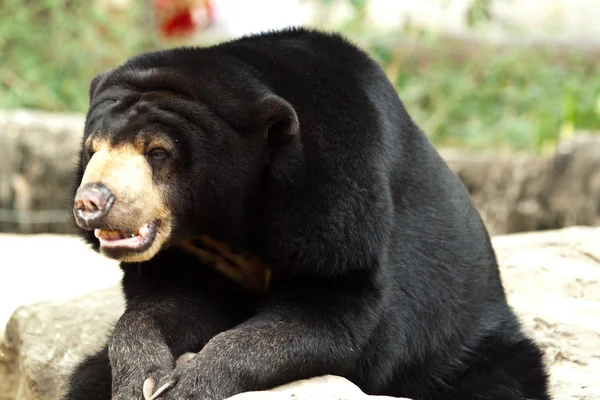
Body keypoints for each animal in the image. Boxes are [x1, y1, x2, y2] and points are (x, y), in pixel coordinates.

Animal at [63, 28, 552, 400]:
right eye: (93, 149)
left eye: (158, 152)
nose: (91, 203)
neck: (223, 219)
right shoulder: (189, 255)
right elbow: (167, 305)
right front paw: (142, 379)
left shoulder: (337, 206)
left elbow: (328, 314)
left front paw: (188, 385)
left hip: (465, 348)